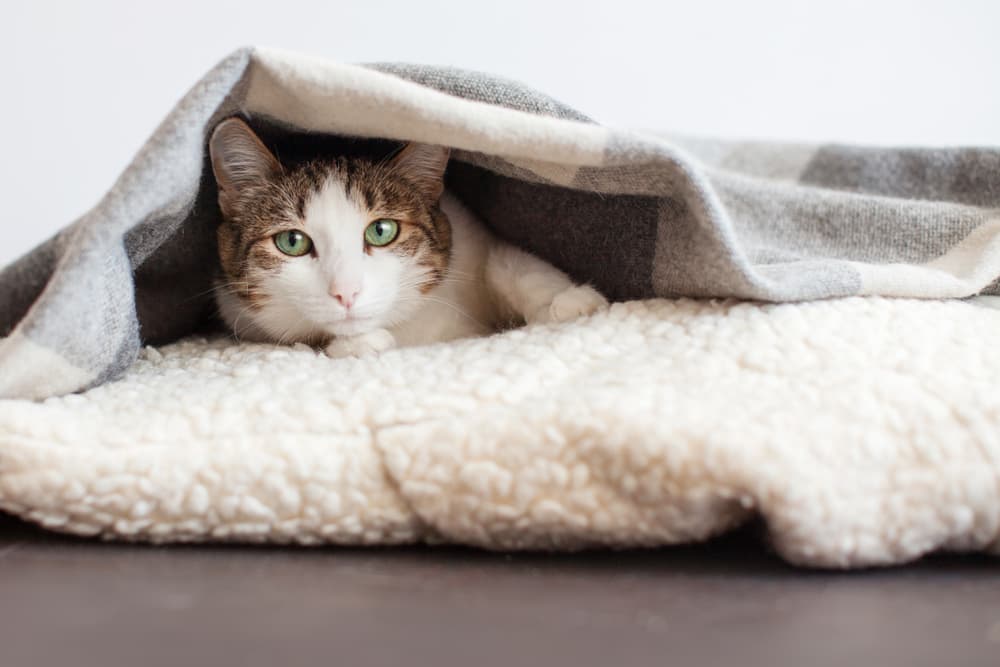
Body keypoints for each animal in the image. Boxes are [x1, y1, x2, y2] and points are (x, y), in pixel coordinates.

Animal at [207, 117, 604, 358]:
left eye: (382, 231)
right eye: (292, 242)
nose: (346, 292)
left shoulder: (470, 234)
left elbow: (509, 263)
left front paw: (570, 301)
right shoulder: (241, 315)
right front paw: (359, 343)